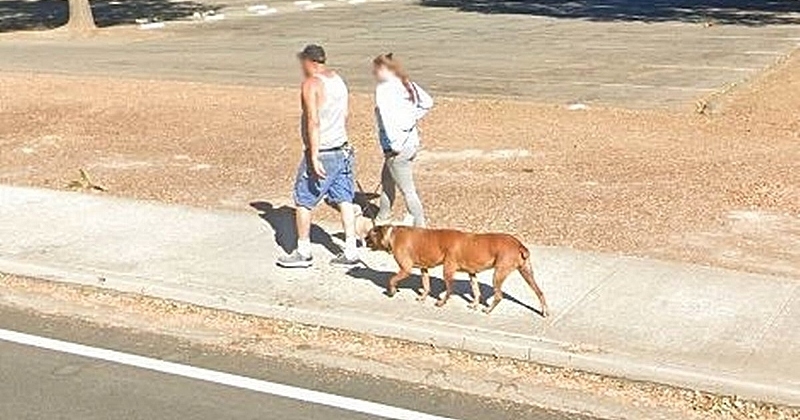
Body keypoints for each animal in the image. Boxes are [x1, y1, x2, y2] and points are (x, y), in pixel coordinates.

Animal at [364, 225, 548, 316]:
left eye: (369, 235)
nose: (363, 240)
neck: (391, 234)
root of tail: (519, 244)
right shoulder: (426, 269)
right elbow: (428, 286)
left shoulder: (409, 269)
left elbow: (392, 279)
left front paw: (392, 291)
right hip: (526, 273)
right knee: (539, 292)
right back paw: (544, 311)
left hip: (499, 274)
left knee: (498, 296)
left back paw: (488, 310)